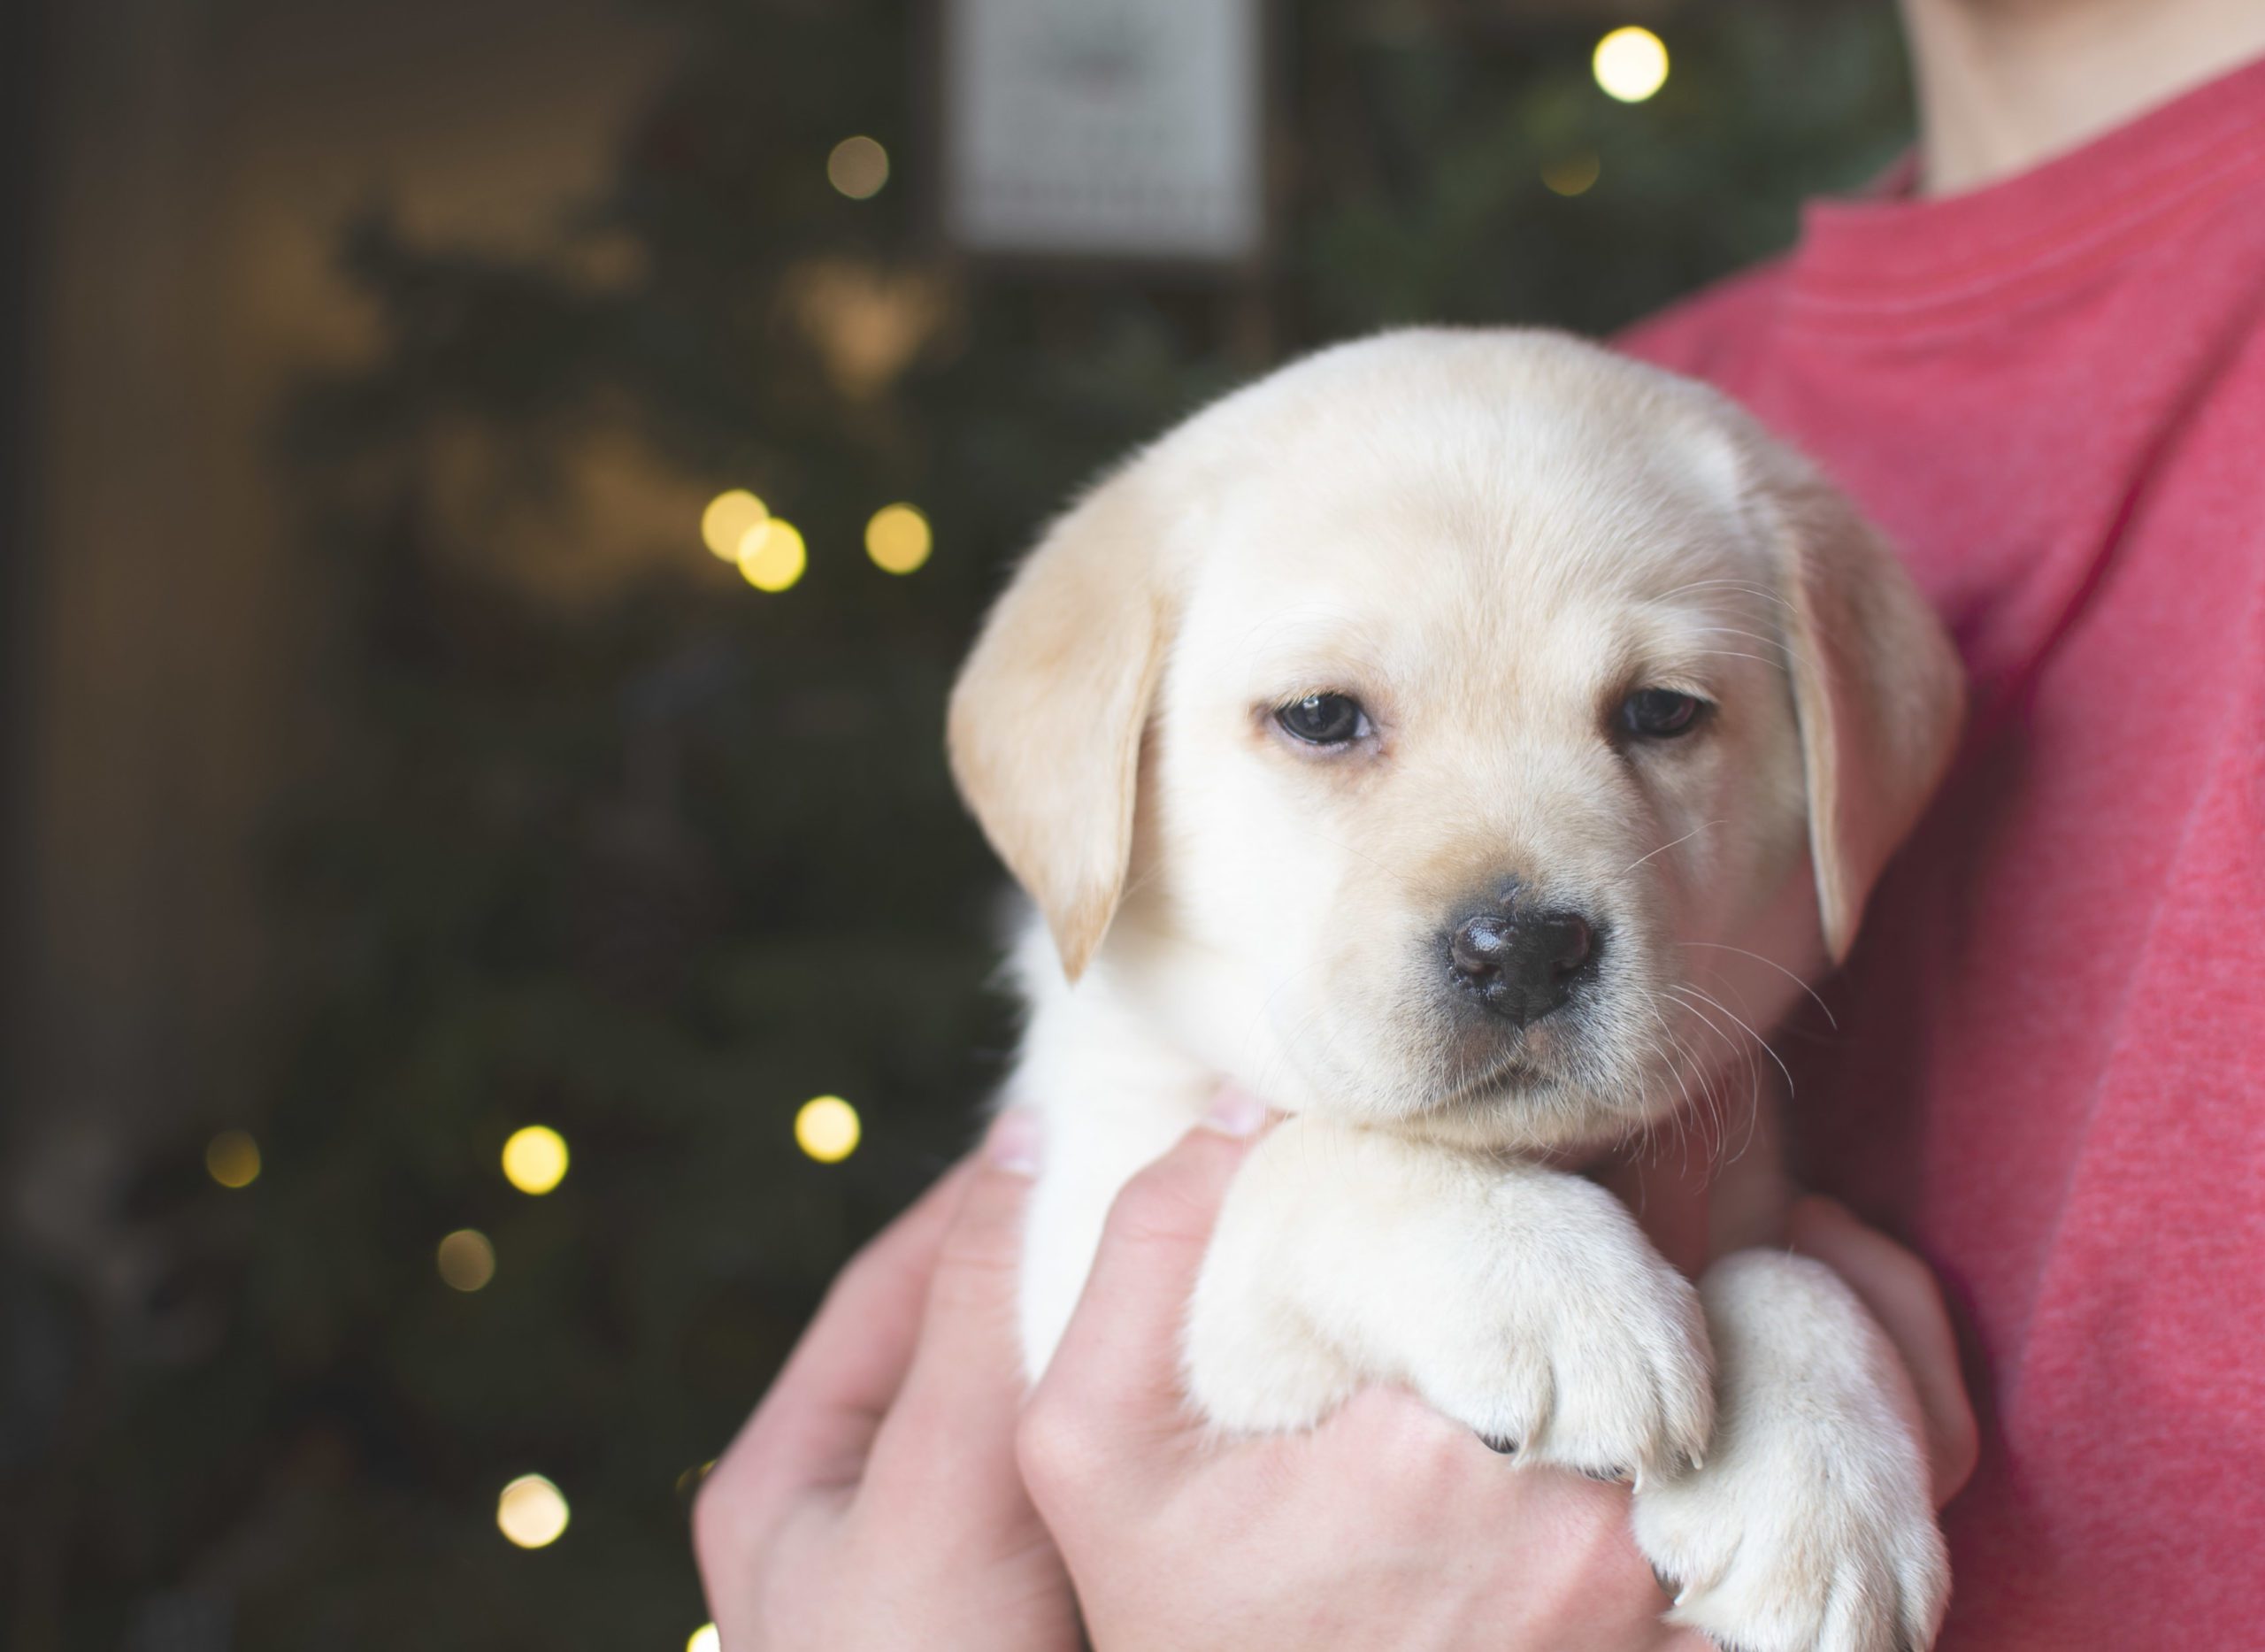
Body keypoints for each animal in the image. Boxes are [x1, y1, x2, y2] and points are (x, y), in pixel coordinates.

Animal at [947, 328, 1956, 1649]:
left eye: (1662, 711)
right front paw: (1554, 1285)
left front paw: (1825, 1493)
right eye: (1321, 715)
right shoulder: (1083, 1244)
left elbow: (1792, 1267)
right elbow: (1309, 1155)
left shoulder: (1754, 1183)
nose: (1522, 949)